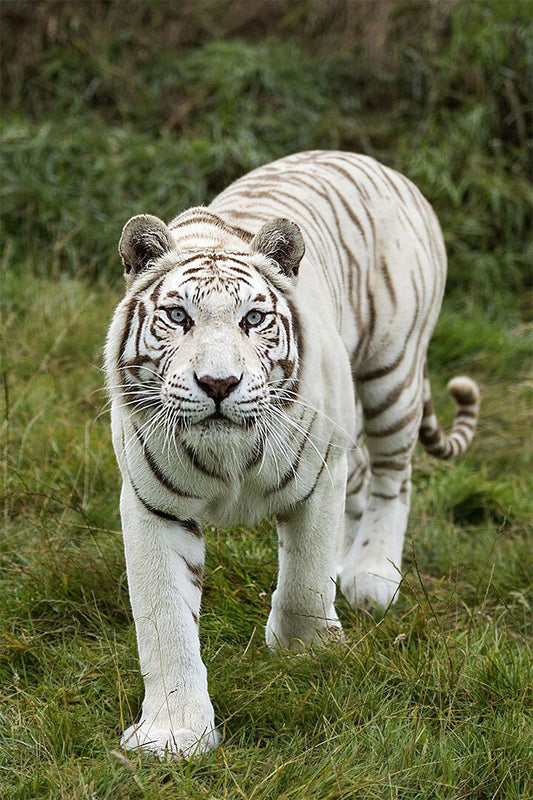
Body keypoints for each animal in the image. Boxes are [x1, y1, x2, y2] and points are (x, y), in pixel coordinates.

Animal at [104, 150, 480, 758]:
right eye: (179, 317)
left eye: (252, 319)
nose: (218, 383)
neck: (228, 457)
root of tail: (373, 162)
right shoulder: (153, 505)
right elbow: (163, 620)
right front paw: (174, 733)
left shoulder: (319, 475)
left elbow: (305, 577)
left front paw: (306, 652)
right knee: (366, 478)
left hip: (391, 373)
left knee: (393, 478)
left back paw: (372, 575)